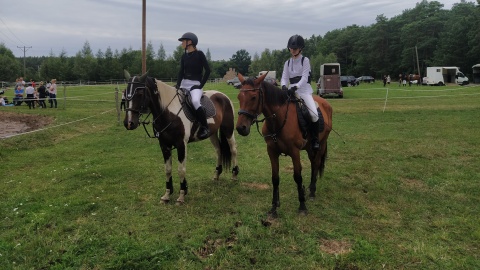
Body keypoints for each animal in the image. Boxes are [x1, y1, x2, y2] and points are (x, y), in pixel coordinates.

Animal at [122, 70, 238, 204]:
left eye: (140, 93)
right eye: (125, 93)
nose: (129, 123)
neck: (168, 112)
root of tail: (223, 96)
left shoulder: (181, 144)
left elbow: (181, 170)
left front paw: (182, 195)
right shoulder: (164, 145)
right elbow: (167, 169)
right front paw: (167, 195)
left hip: (228, 130)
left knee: (233, 149)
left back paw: (234, 175)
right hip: (212, 133)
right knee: (219, 150)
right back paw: (216, 175)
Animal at [234, 72, 332, 217]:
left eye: (253, 97)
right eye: (239, 97)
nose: (241, 128)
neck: (278, 120)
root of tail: (325, 103)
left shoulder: (295, 152)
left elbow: (298, 177)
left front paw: (302, 206)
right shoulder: (272, 152)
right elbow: (275, 178)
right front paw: (274, 207)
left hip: (321, 144)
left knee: (316, 162)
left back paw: (312, 192)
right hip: (309, 148)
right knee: (313, 163)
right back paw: (309, 188)